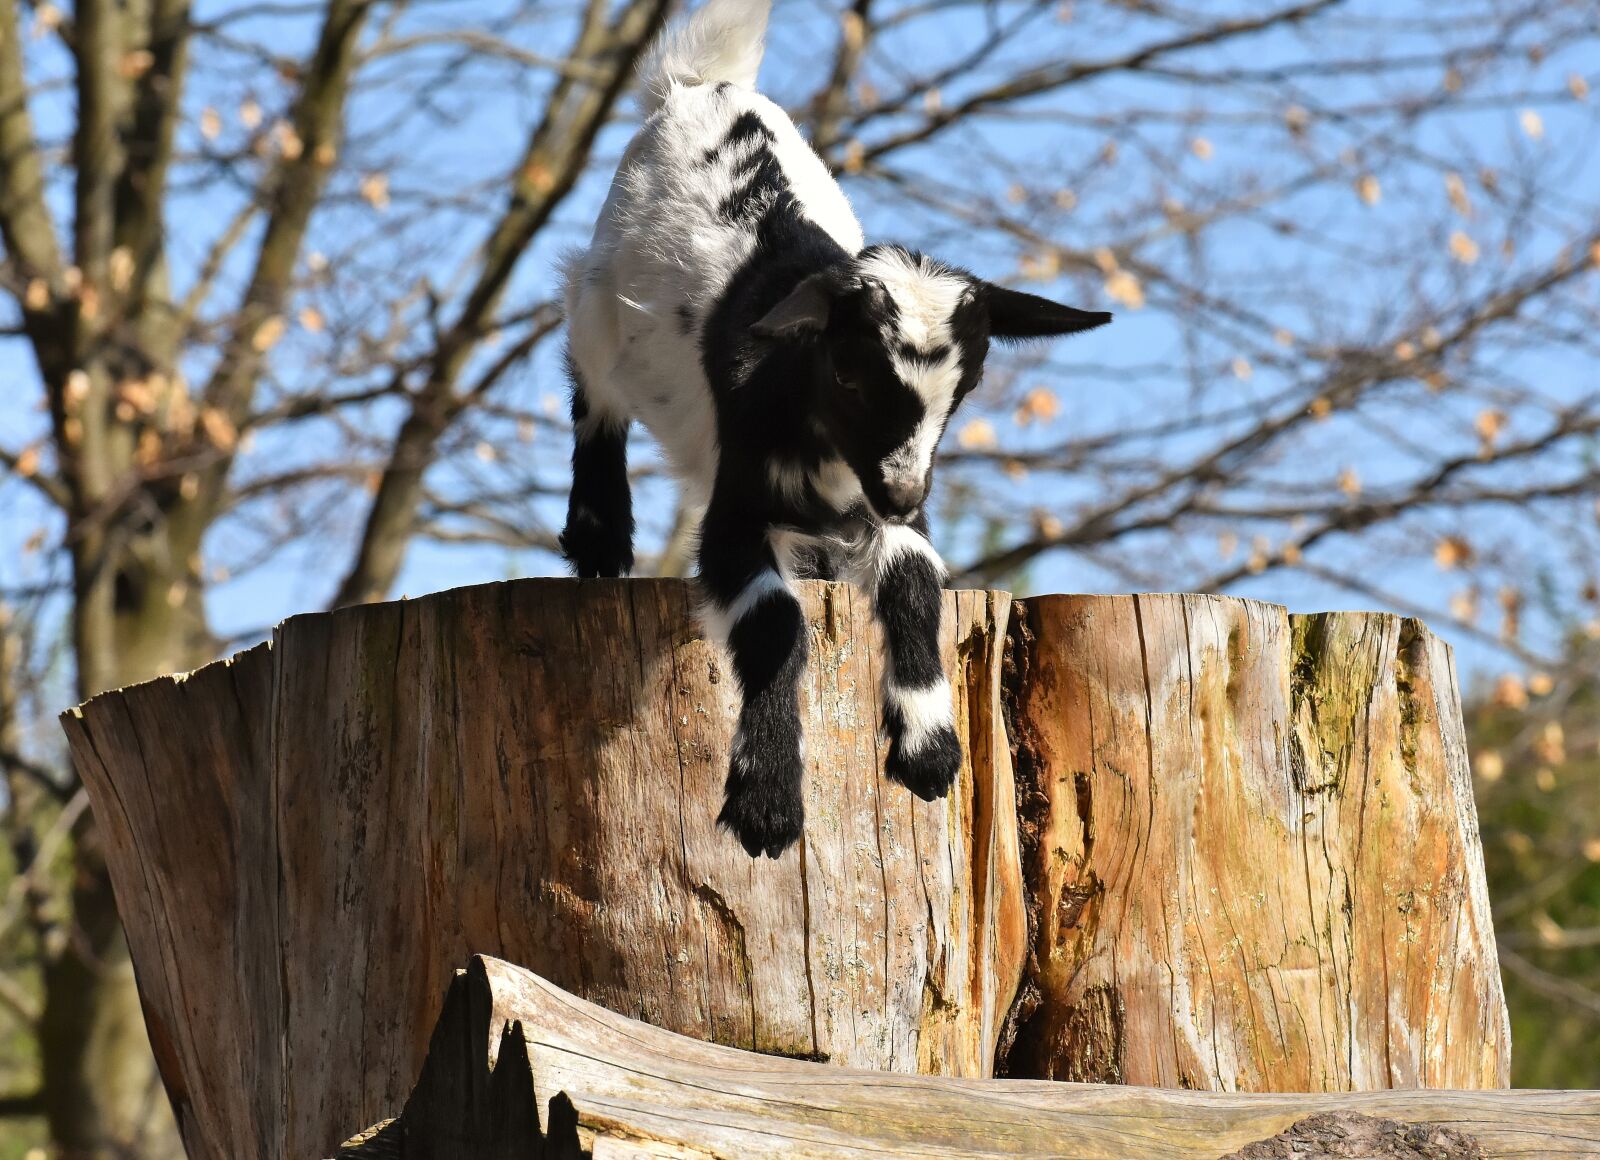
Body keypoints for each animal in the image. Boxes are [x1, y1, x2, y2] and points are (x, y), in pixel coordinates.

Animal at [561, 0, 1111, 858]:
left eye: (967, 388)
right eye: (851, 375)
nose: (901, 491)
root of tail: (700, 84)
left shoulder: (888, 506)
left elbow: (915, 583)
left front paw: (927, 748)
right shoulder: (738, 506)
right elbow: (775, 620)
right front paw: (766, 800)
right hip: (601, 296)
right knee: (591, 387)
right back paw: (599, 537)